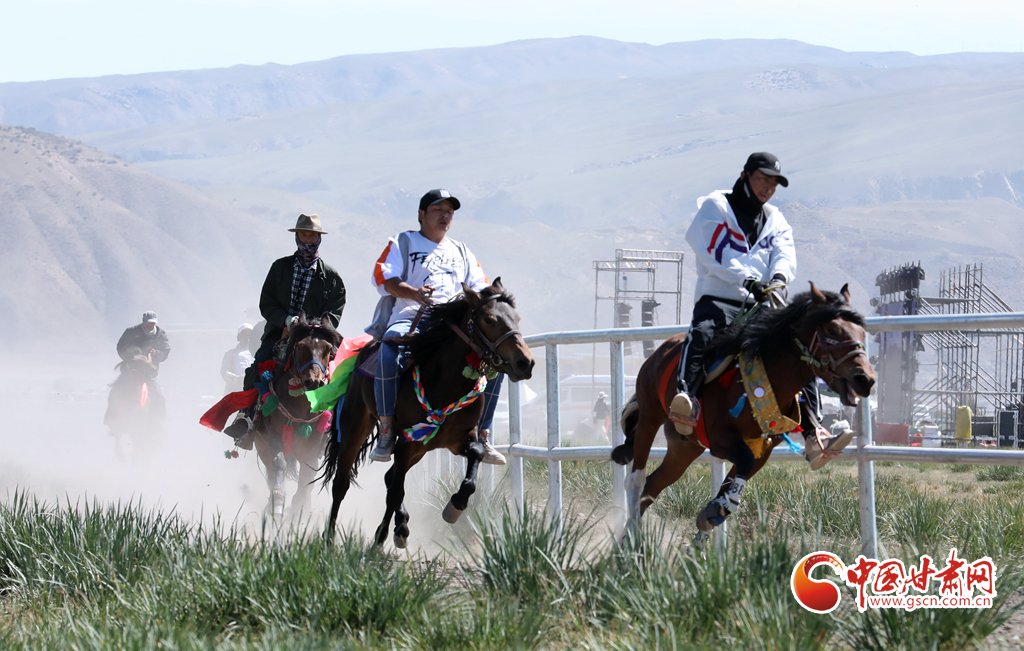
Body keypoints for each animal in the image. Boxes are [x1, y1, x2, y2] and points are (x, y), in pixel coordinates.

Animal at [253, 312, 342, 519]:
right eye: (300, 346)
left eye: (328, 349)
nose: (314, 382)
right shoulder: (274, 438)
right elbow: (279, 463)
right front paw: (278, 504)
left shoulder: (313, 446)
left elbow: (307, 477)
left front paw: (298, 509)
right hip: (261, 445)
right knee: (271, 470)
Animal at [322, 279, 535, 548]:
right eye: (489, 319)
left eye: (516, 318)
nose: (525, 362)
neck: (445, 382)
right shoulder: (407, 442)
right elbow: (395, 492)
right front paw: (380, 539)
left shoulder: (457, 439)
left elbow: (475, 454)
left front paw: (455, 506)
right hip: (356, 428)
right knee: (342, 483)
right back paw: (329, 539)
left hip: (421, 449)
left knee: (390, 477)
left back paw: (400, 526)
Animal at [611, 283, 876, 546]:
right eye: (833, 329)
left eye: (862, 332)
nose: (865, 379)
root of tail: (660, 352)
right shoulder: (720, 439)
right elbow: (743, 464)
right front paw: (712, 514)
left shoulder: (763, 450)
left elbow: (735, 480)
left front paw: (711, 517)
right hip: (650, 417)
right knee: (635, 481)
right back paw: (628, 543)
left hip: (685, 446)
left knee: (652, 486)